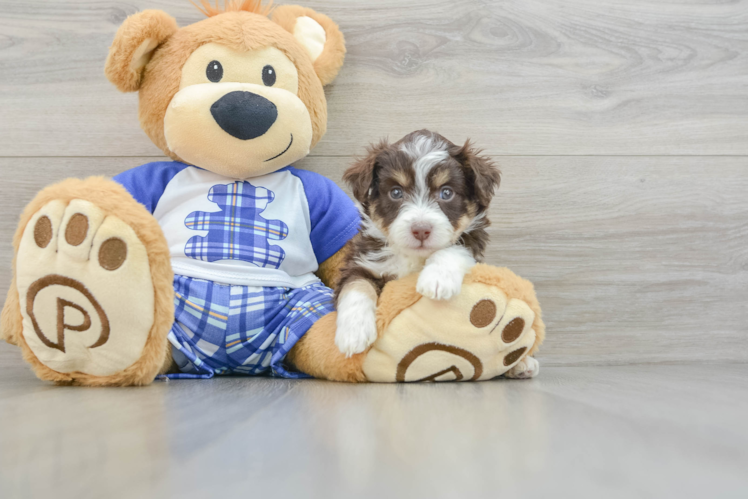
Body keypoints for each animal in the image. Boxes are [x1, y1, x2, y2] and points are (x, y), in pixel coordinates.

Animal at [334, 129, 500, 356]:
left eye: (446, 192)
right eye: (396, 192)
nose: (421, 230)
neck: (413, 258)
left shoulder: (473, 243)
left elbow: (455, 248)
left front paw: (437, 279)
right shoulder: (361, 262)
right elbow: (356, 287)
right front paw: (353, 333)